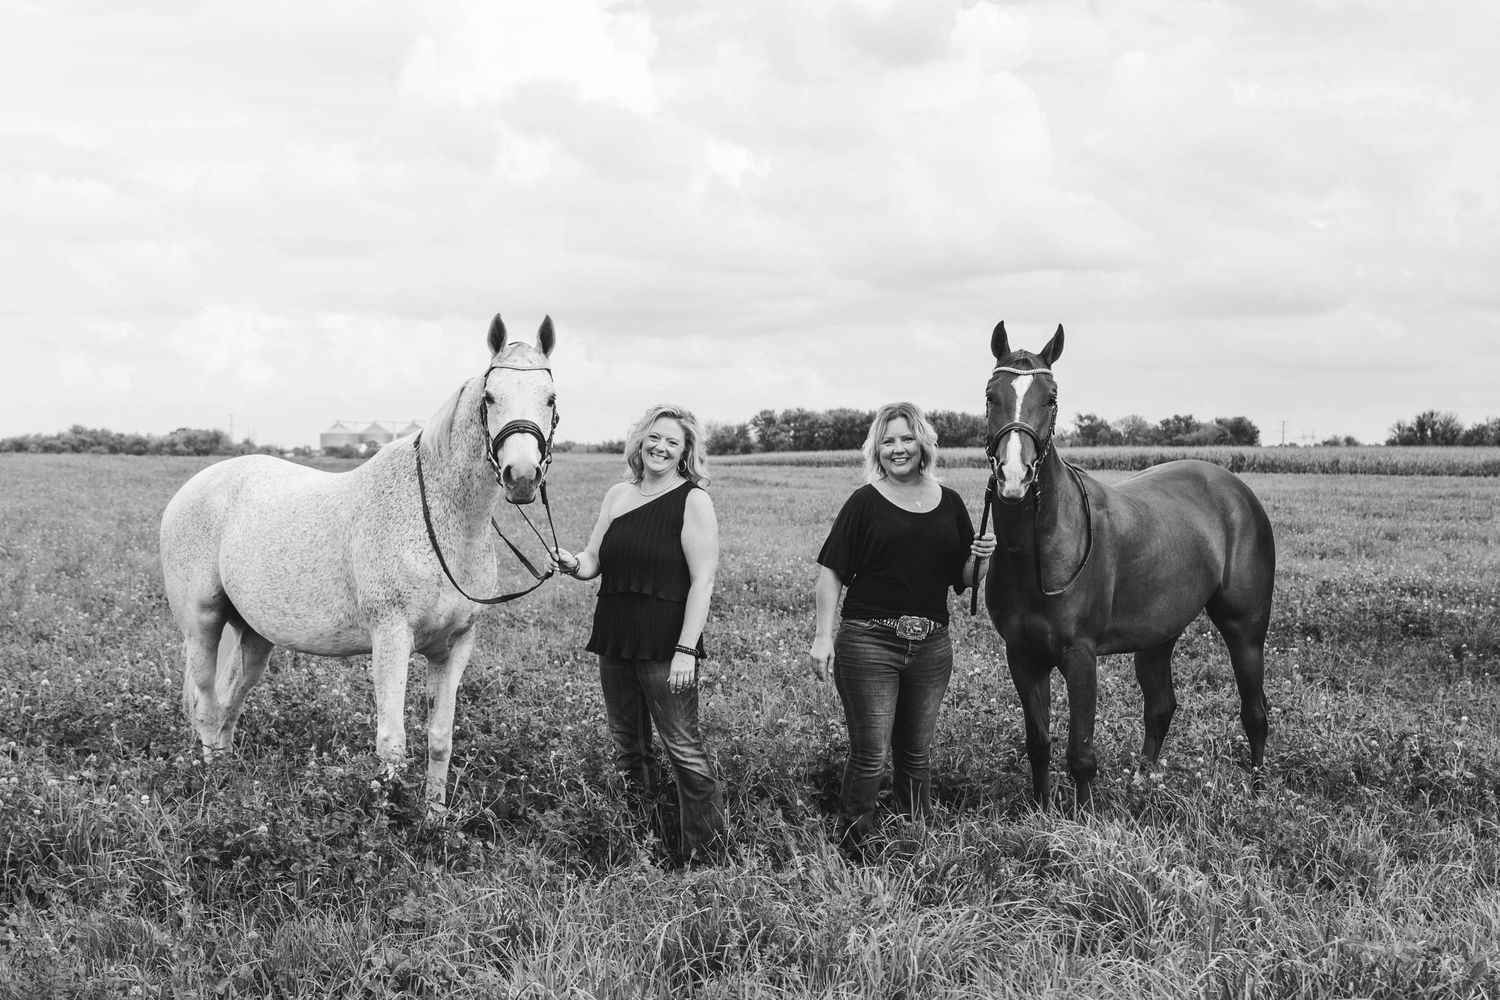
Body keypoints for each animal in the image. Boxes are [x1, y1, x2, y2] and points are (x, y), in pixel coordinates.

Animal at [159, 314, 559, 808]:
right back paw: (214, 784)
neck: (440, 519)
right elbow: (392, 743)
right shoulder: (391, 638)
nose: (521, 477)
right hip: (202, 624)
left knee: (230, 700)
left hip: (254, 633)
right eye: (490, 397)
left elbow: (440, 738)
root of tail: (193, 487)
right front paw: (389, 816)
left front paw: (434, 817)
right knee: (206, 703)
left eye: (550, 398)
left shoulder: (455, 645)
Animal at [979, 321, 1275, 808]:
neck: (1040, 552)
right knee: (1161, 706)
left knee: (1255, 711)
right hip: (1158, 635)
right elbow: (1038, 743)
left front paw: (1080, 818)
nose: (1014, 477)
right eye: (990, 395)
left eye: (1052, 397)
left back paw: (1258, 788)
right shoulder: (1022, 656)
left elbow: (1080, 753)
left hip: (1245, 630)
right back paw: (1144, 779)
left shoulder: (1080, 657)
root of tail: (1235, 489)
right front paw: (1040, 810)